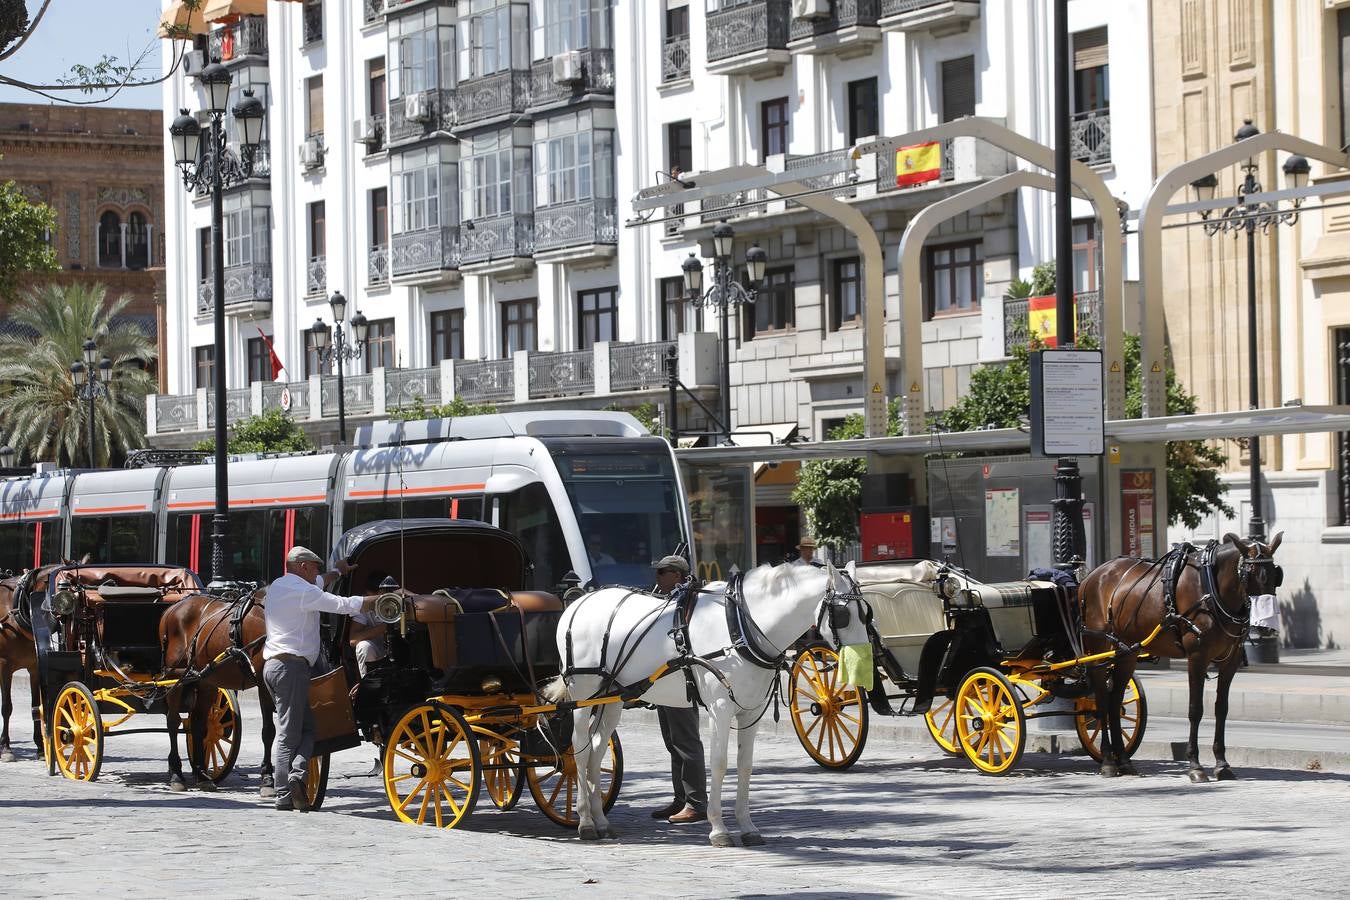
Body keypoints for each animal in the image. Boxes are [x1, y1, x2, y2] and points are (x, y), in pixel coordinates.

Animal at [156, 591, 275, 793]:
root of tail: (171, 609)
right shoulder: (263, 682)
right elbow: (269, 731)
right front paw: (267, 778)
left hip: (206, 680)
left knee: (199, 723)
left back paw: (202, 774)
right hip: (174, 677)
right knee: (173, 722)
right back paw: (176, 774)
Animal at [540, 558, 869, 847]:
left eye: (867, 613)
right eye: (843, 614)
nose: (861, 663)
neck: (740, 628)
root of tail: (577, 603)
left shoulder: (750, 711)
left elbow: (745, 765)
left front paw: (748, 827)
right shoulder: (720, 709)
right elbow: (719, 764)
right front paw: (719, 829)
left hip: (612, 699)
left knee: (596, 751)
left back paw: (601, 821)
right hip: (583, 695)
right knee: (579, 752)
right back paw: (585, 822)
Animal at [1074, 534, 1285, 782]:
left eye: (1275, 574)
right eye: (1248, 572)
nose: (1267, 626)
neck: (1211, 588)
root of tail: (1091, 576)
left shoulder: (1229, 662)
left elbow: (1221, 709)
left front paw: (1222, 764)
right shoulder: (1197, 657)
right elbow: (1195, 709)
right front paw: (1195, 765)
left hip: (1126, 653)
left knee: (1115, 702)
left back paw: (1124, 761)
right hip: (1099, 650)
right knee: (1102, 700)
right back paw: (1108, 760)